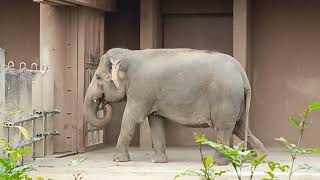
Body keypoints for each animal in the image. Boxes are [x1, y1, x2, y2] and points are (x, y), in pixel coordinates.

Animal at [82, 47, 264, 165]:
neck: (130, 54)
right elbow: (155, 121)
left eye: (98, 77)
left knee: (224, 129)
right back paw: (260, 158)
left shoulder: (141, 91)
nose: (104, 104)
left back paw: (218, 162)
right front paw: (157, 161)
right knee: (240, 127)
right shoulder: (151, 94)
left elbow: (131, 118)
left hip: (225, 97)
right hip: (237, 100)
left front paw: (118, 159)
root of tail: (242, 73)